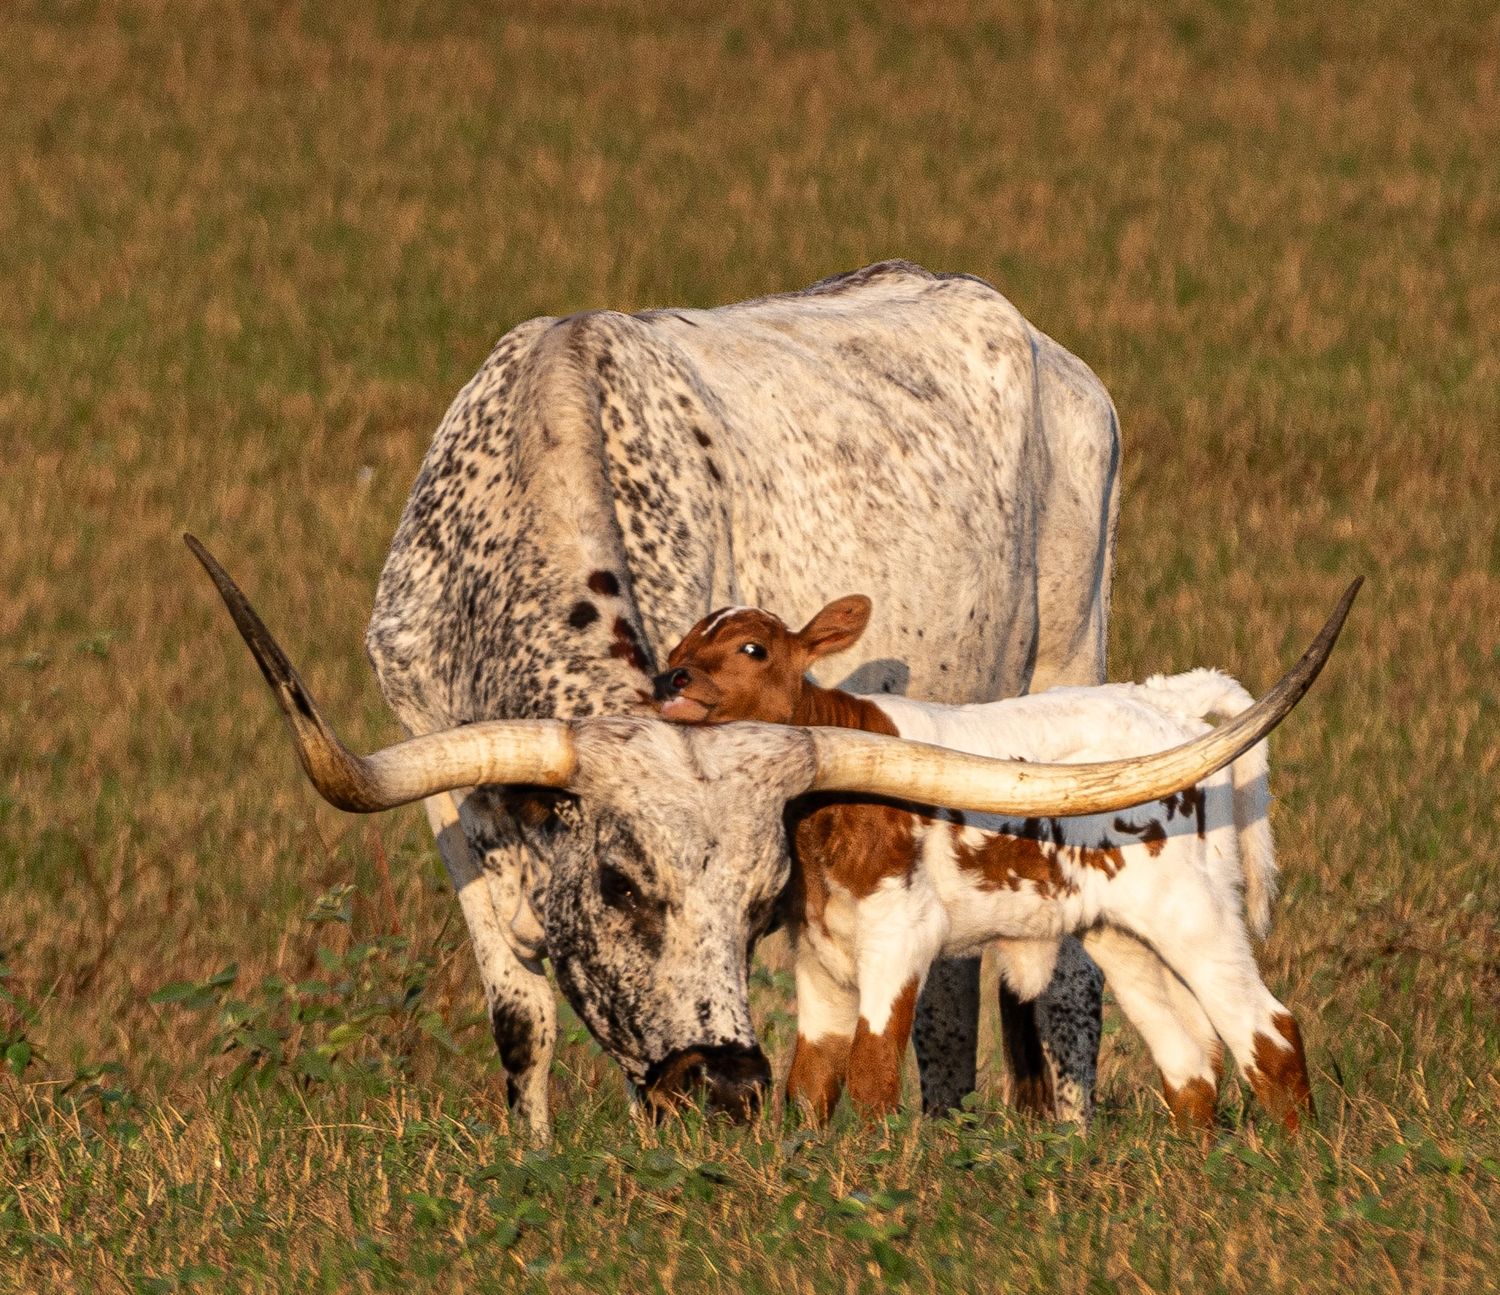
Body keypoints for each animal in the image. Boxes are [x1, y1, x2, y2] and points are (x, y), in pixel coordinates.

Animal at [655, 596, 1321, 1131]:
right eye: (679, 645)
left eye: (754, 648)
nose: (670, 680)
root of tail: (1162, 697)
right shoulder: (819, 950)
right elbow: (810, 1086)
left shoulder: (901, 935)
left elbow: (872, 1078)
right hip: (1123, 934)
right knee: (1190, 1060)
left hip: (1194, 912)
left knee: (1269, 1033)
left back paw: (1295, 1161)